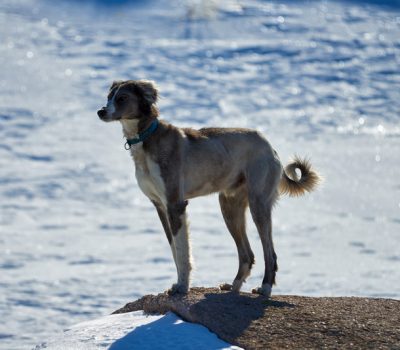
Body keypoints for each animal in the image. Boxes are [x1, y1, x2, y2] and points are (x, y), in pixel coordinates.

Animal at [98, 79, 320, 296]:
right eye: (109, 96)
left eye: (122, 98)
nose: (101, 112)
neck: (146, 138)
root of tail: (269, 146)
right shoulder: (160, 206)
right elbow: (175, 250)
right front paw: (179, 284)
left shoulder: (175, 204)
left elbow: (182, 252)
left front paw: (182, 286)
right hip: (230, 206)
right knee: (247, 254)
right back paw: (234, 286)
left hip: (259, 204)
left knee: (270, 253)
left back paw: (265, 287)